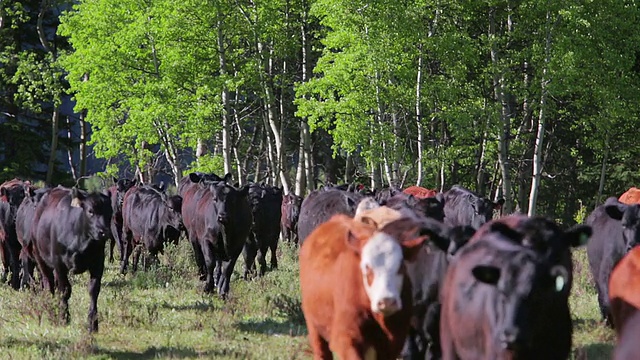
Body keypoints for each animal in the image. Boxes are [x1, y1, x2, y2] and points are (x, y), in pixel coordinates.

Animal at [31, 187, 112, 334]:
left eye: (110, 212)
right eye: (90, 211)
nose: (104, 232)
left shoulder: (98, 263)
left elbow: (93, 290)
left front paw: (93, 324)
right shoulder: (59, 263)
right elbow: (65, 290)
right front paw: (64, 317)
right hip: (40, 258)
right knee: (49, 285)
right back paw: (51, 312)